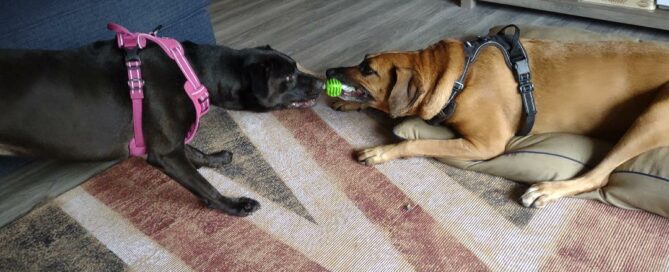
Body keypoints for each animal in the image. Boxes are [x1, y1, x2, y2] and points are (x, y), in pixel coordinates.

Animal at [0, 39, 324, 217]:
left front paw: (214, 159)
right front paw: (233, 205)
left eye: (297, 66)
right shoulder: (165, 153)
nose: (322, 83)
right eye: (288, 79)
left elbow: (192, 151)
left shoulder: (168, 140)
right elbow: (203, 184)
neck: (193, 72)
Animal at [326, 37, 668, 208]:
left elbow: (414, 141)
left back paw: (546, 190)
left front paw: (381, 151)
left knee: (600, 176)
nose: (329, 71)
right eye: (362, 61)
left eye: (368, 70)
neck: (456, 75)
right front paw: (346, 101)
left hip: (653, 115)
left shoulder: (485, 144)